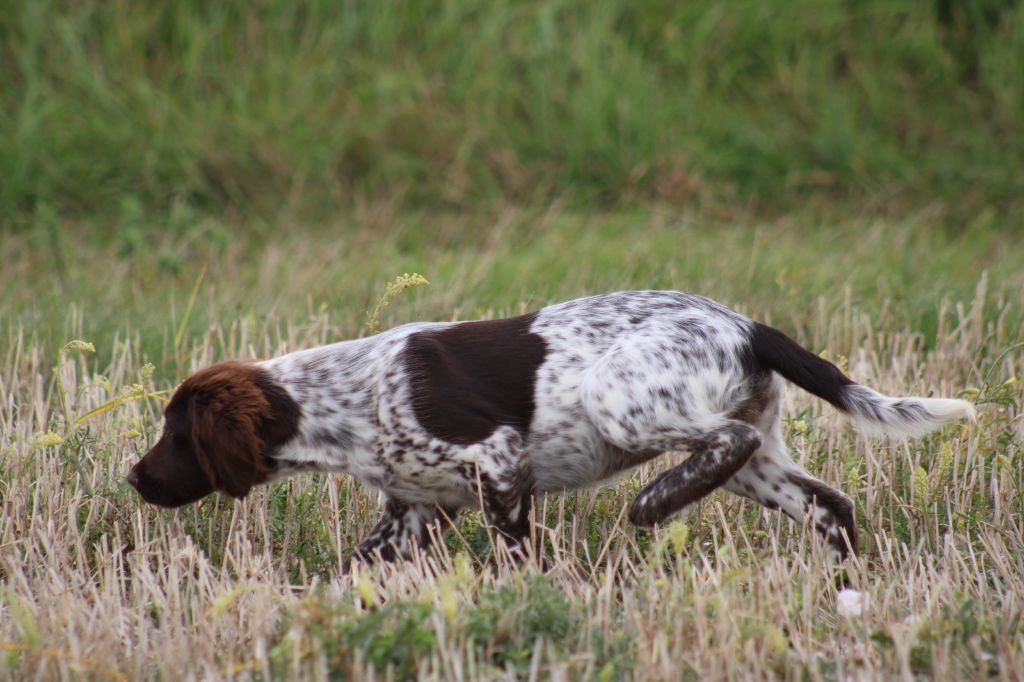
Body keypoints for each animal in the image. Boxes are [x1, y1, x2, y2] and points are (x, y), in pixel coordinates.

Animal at [128, 291, 974, 564]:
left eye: (177, 435)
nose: (134, 478)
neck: (342, 399)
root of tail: (746, 324)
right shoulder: (415, 510)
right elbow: (355, 571)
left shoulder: (499, 463)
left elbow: (517, 556)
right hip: (763, 456)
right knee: (827, 502)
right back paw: (844, 586)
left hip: (623, 399)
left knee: (716, 447)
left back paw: (654, 503)